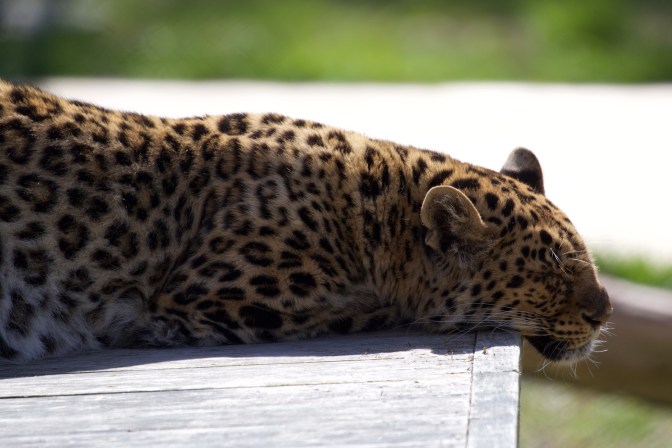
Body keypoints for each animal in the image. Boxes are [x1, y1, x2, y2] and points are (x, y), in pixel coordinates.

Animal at [0, 80, 612, 363]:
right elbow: (370, 308)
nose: (604, 314)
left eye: (585, 259)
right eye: (551, 269)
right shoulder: (198, 307)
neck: (375, 213)